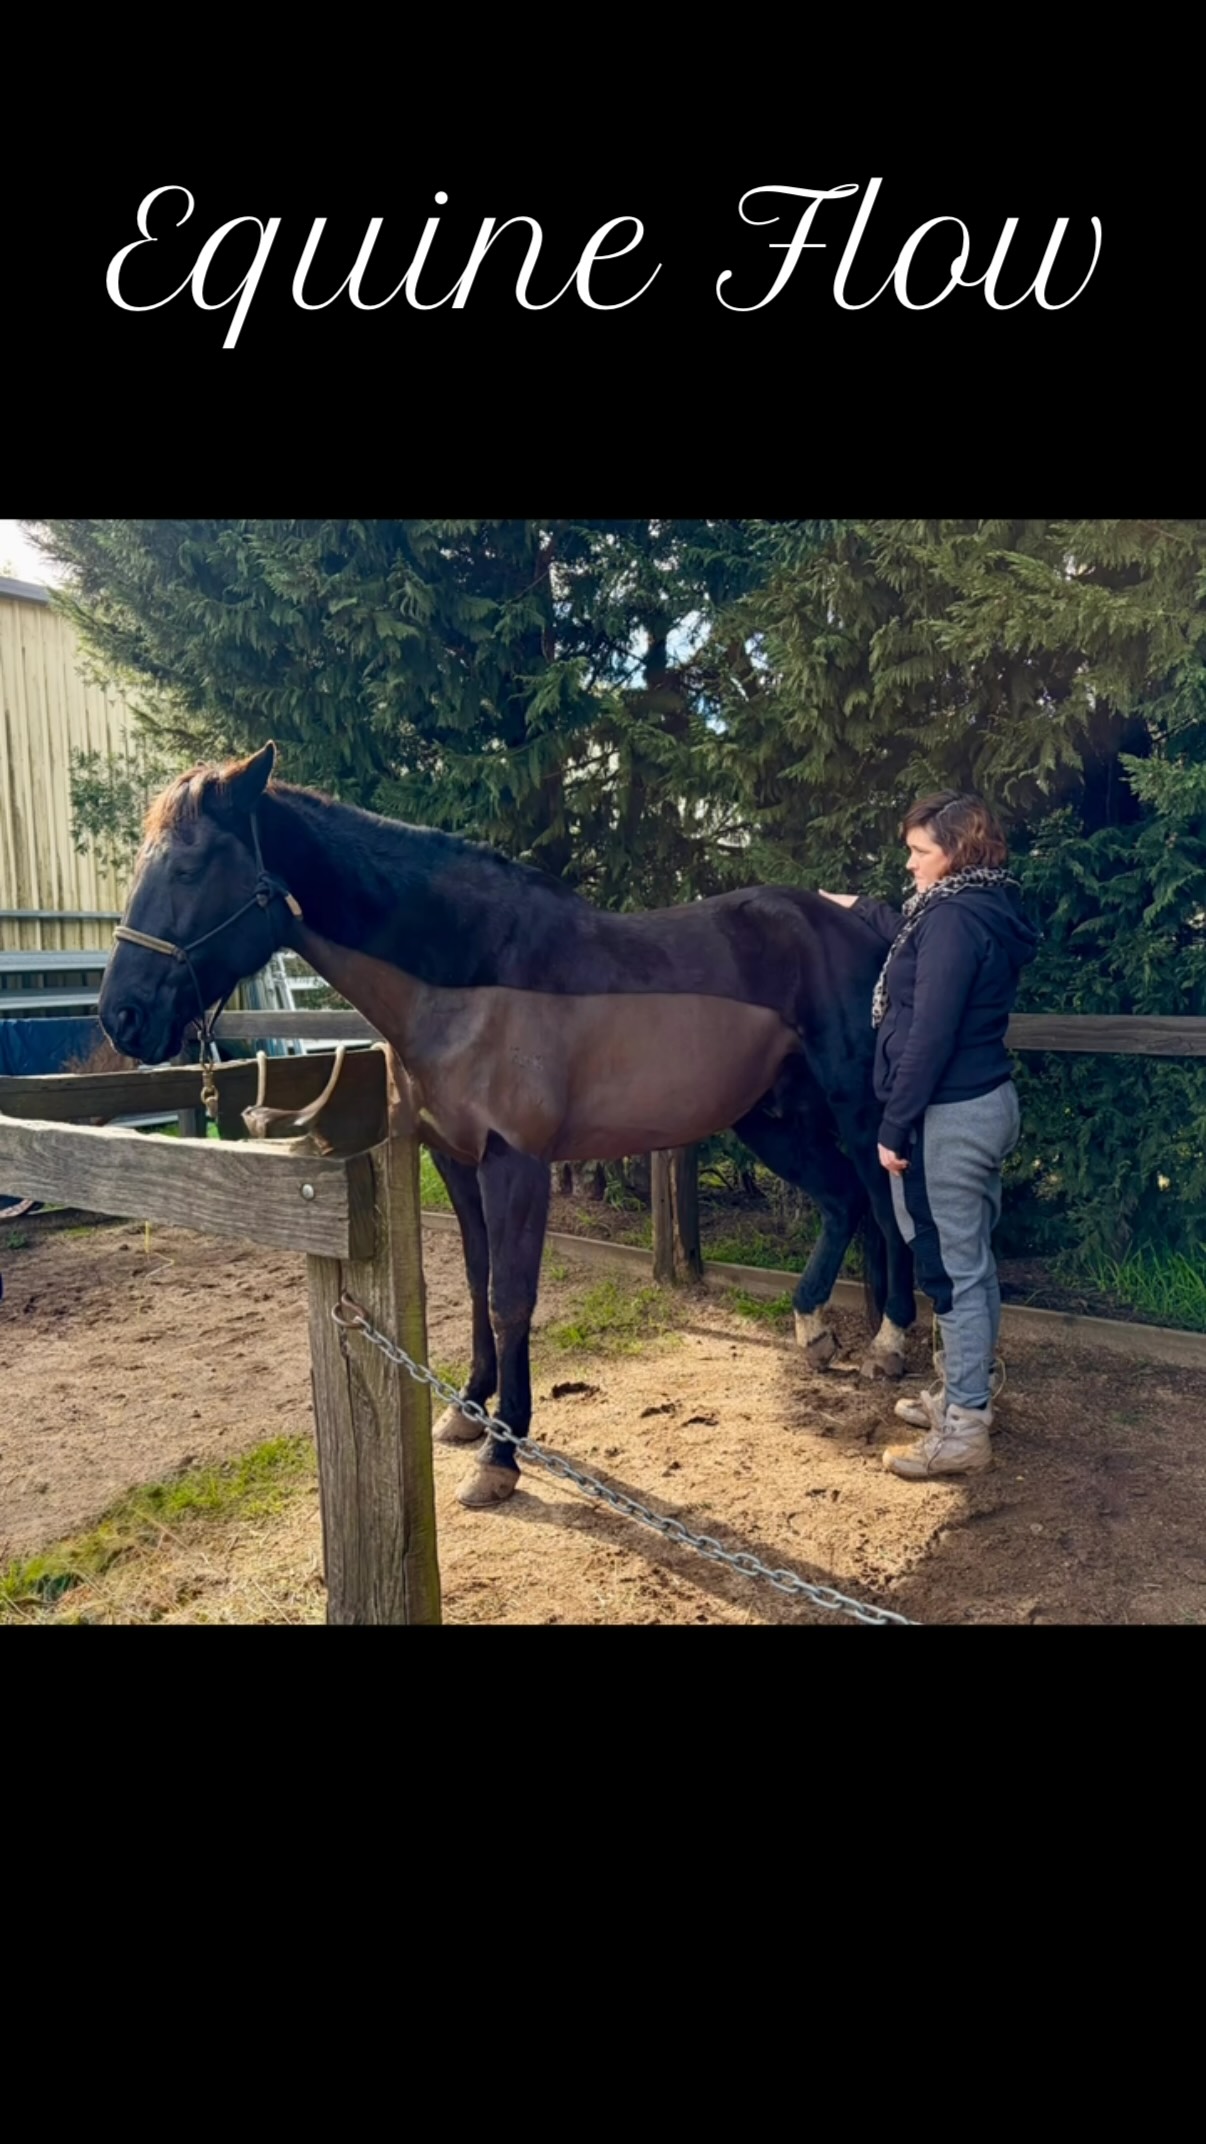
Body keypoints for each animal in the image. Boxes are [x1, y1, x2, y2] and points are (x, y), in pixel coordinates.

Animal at [98, 742, 916, 1508]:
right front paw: (467, 1409)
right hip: (770, 1117)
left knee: (883, 1204)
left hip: (854, 1108)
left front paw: (502, 1452)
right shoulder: (456, 1159)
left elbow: (508, 1296)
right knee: (844, 1201)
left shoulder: (515, 1164)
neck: (469, 977)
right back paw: (816, 1330)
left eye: (188, 869)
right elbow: (474, 1278)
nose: (121, 1016)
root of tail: (859, 924)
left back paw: (889, 1341)